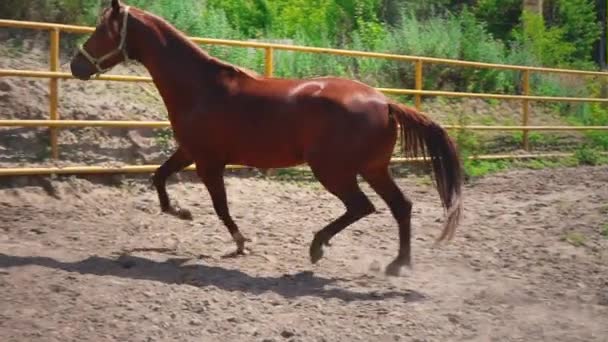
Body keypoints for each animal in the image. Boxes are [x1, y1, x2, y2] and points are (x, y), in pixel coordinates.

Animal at [70, 0, 460, 276]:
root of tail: (384, 102)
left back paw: (318, 247)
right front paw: (181, 212)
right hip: (374, 168)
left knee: (362, 206)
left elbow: (220, 205)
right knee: (400, 206)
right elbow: (159, 177)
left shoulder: (208, 162)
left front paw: (241, 242)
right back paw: (397, 265)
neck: (200, 87)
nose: (76, 66)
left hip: (333, 171)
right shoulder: (190, 152)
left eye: (102, 30)